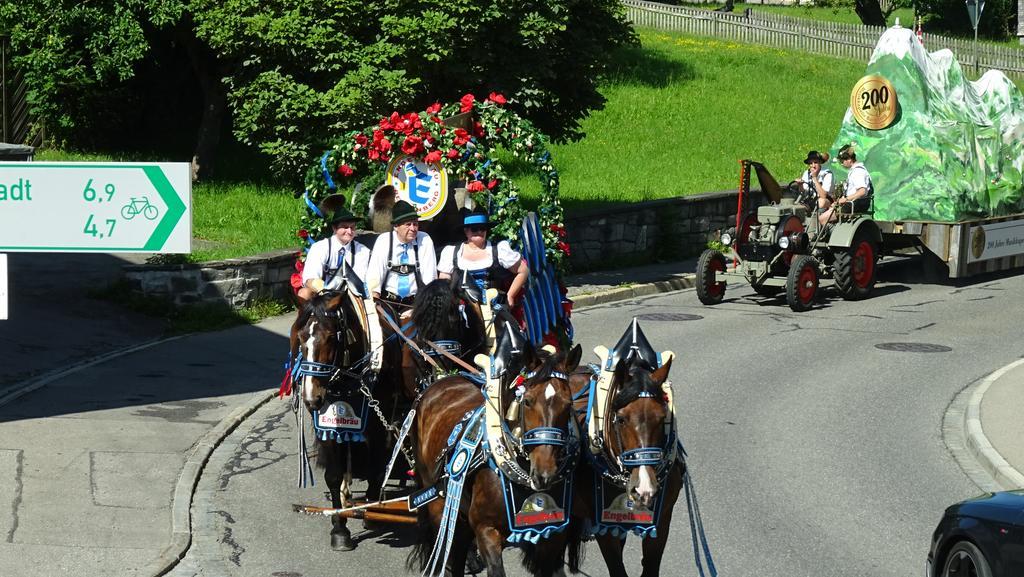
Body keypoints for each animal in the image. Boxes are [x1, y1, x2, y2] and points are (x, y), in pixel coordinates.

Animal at [407, 346, 585, 573]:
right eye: (528, 401)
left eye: (568, 404)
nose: (545, 474)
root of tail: (442, 380)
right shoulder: (486, 530)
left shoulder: (554, 535)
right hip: (438, 503)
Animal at [569, 352, 688, 577]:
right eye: (622, 419)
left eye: (662, 418)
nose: (644, 489)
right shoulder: (605, 527)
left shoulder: (662, 520)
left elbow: (650, 567)